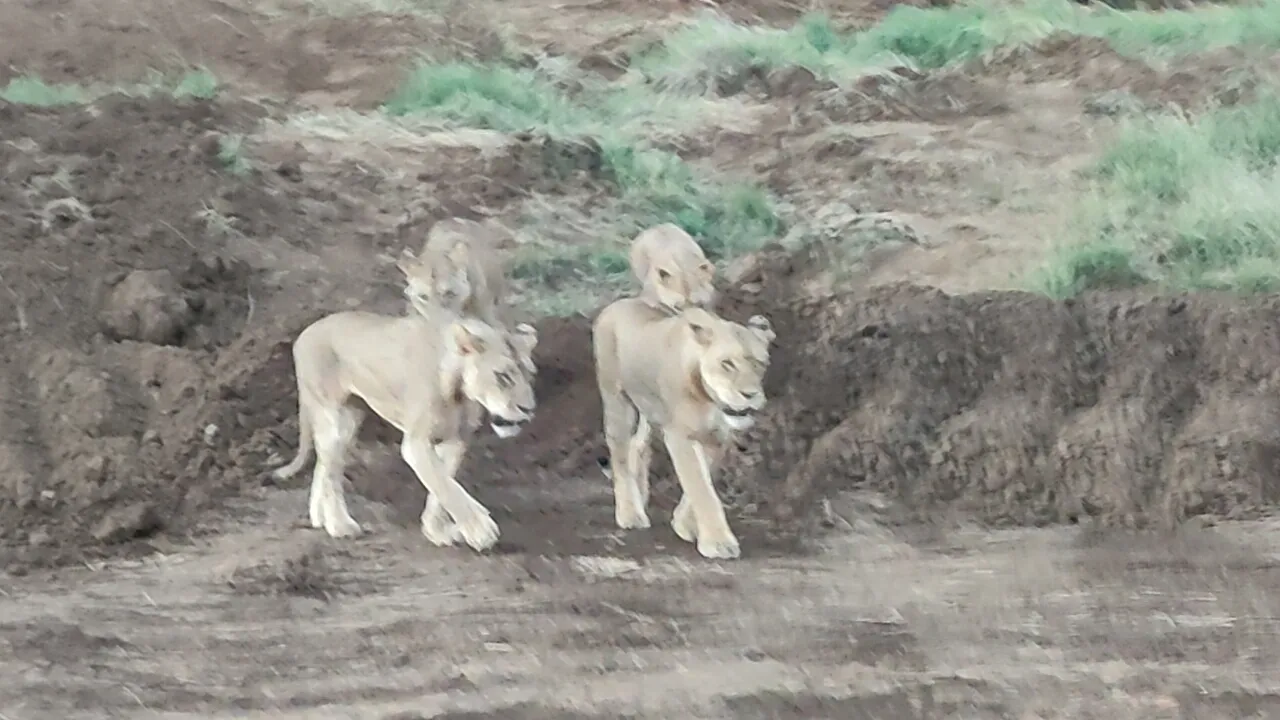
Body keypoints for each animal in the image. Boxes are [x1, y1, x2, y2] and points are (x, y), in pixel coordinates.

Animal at [270, 303, 538, 553]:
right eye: (503, 376)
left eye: (529, 376)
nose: (528, 409)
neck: (460, 392)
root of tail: (305, 333)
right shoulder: (416, 442)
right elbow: (444, 485)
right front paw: (480, 530)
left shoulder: (455, 442)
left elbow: (443, 485)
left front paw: (435, 530)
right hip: (336, 418)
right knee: (331, 473)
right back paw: (339, 525)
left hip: (351, 419)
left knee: (323, 466)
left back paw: (319, 518)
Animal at [592, 298, 775, 559]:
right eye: (727, 364)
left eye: (759, 363)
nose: (749, 395)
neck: (709, 399)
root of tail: (619, 302)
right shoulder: (679, 436)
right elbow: (700, 486)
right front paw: (718, 542)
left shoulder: (717, 438)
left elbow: (702, 481)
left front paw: (684, 524)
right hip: (617, 401)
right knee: (620, 455)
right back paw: (630, 513)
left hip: (652, 412)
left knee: (638, 445)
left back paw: (641, 497)